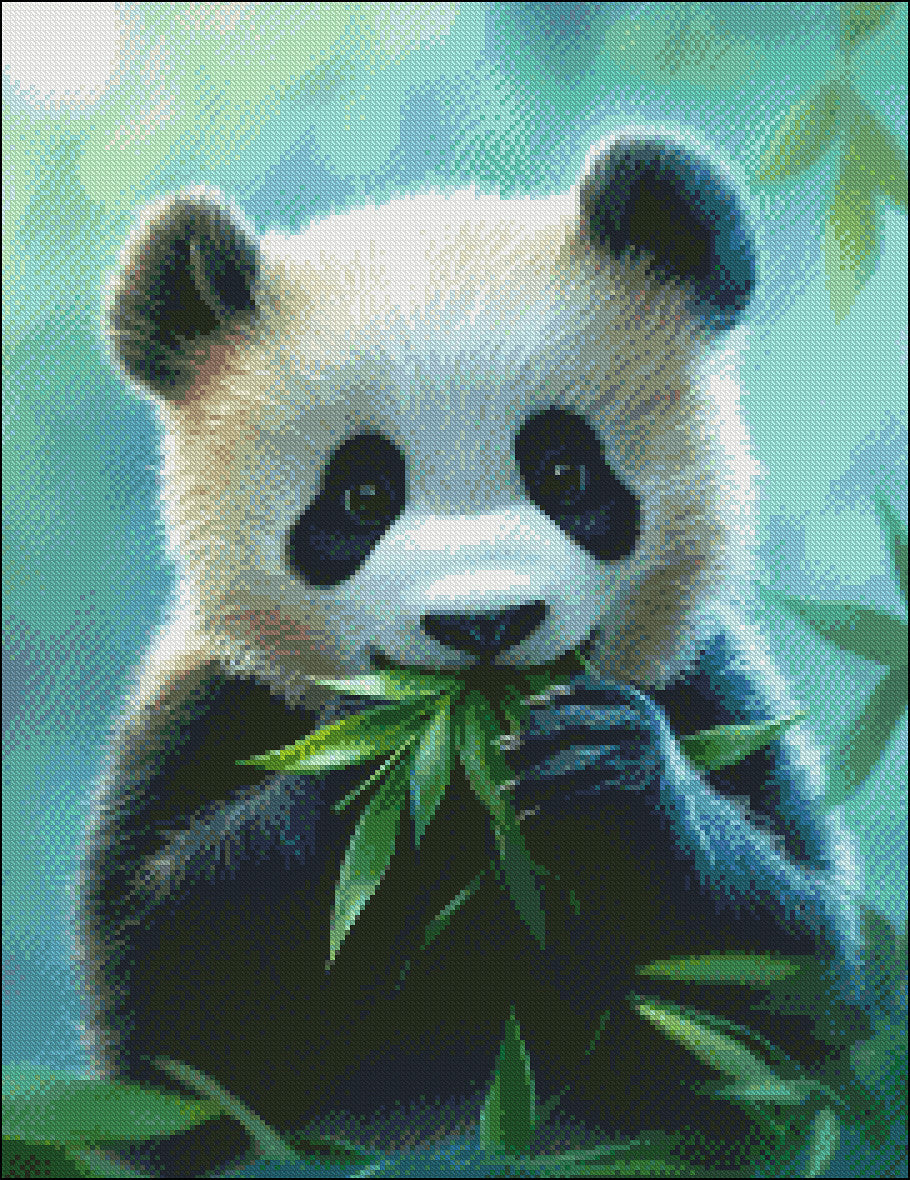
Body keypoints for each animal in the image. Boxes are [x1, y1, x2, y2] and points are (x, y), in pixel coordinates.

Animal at [78, 134, 875, 1177]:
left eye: (565, 471)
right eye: (362, 495)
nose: (485, 624)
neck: (476, 809)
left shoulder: (715, 697)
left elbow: (787, 987)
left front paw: (608, 766)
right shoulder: (209, 712)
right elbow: (173, 1015)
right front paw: (377, 759)